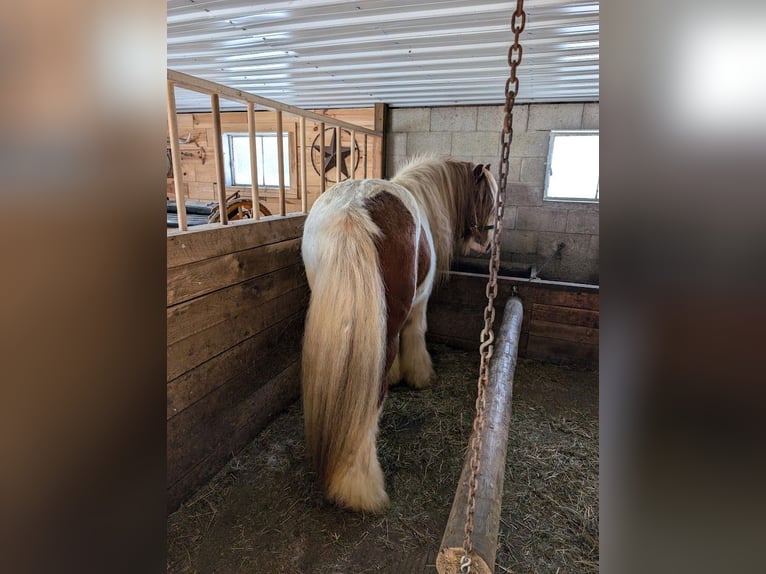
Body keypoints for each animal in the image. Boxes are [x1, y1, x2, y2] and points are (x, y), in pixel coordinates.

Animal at [301, 156, 498, 512]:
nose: (486, 243)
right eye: (487, 197)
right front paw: (420, 376)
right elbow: (416, 335)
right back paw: (359, 486)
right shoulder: (419, 303)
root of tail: (352, 210)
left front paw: (397, 376)